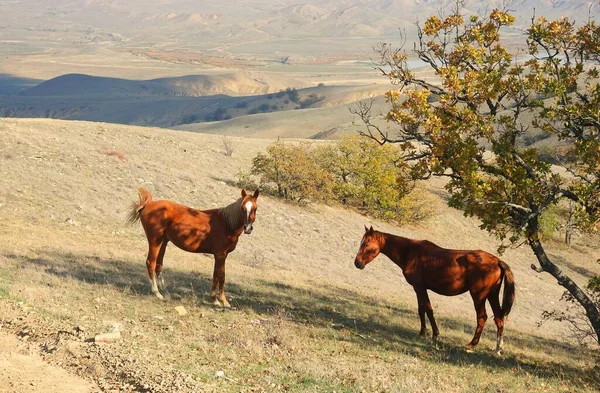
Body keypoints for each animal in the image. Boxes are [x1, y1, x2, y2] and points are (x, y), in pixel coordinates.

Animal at [126, 187, 258, 306]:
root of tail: (147, 205)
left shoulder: (218, 255)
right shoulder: (221, 255)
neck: (226, 224)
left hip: (163, 242)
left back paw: (165, 292)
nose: (247, 228)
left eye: (255, 208)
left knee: (159, 265)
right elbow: (221, 276)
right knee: (151, 262)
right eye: (242, 208)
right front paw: (223, 301)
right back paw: (157, 293)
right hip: (155, 241)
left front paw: (214, 299)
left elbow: (215, 275)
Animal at [352, 225, 516, 354]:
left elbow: (428, 309)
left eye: (366, 244)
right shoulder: (418, 288)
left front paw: (435, 335)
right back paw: (498, 349)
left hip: (479, 296)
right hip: (492, 295)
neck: (410, 252)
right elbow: (421, 310)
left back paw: (471, 345)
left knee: (482, 317)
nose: (357, 263)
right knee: (499, 318)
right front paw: (422, 332)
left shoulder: (420, 287)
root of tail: (497, 261)